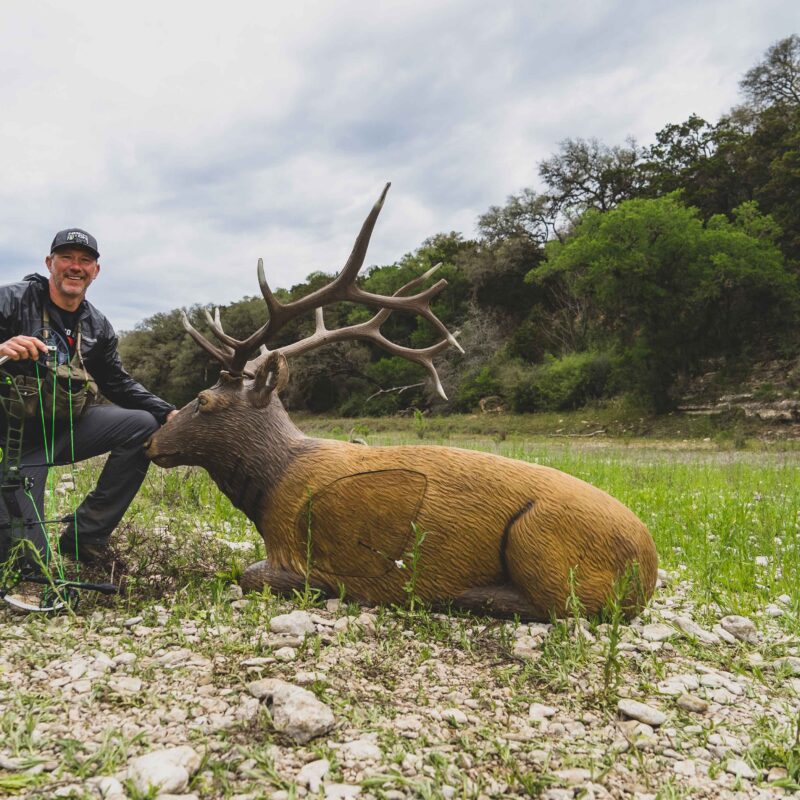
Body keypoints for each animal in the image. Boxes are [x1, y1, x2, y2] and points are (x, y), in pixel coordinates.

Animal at [145, 184, 657, 621]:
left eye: (203, 400)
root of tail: (649, 571)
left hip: (541, 541)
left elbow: (251, 574)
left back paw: (468, 596)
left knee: (564, 606)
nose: (152, 442)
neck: (273, 483)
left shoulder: (299, 551)